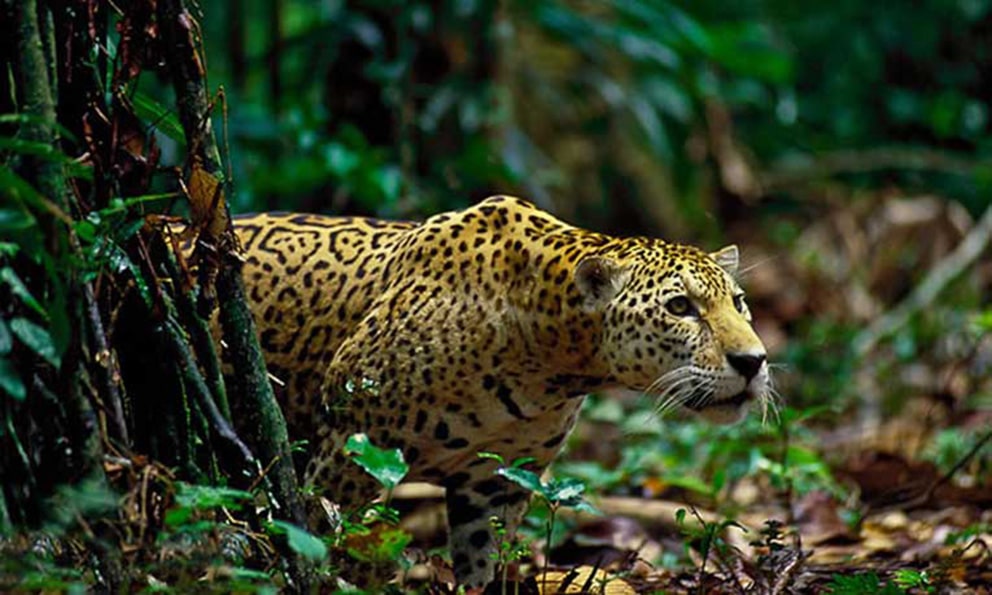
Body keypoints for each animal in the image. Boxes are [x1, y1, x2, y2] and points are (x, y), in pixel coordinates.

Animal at [228, 195, 770, 588]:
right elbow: (331, 547)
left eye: (739, 302)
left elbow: (484, 563)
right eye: (680, 307)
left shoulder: (496, 480)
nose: (754, 361)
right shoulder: (350, 450)